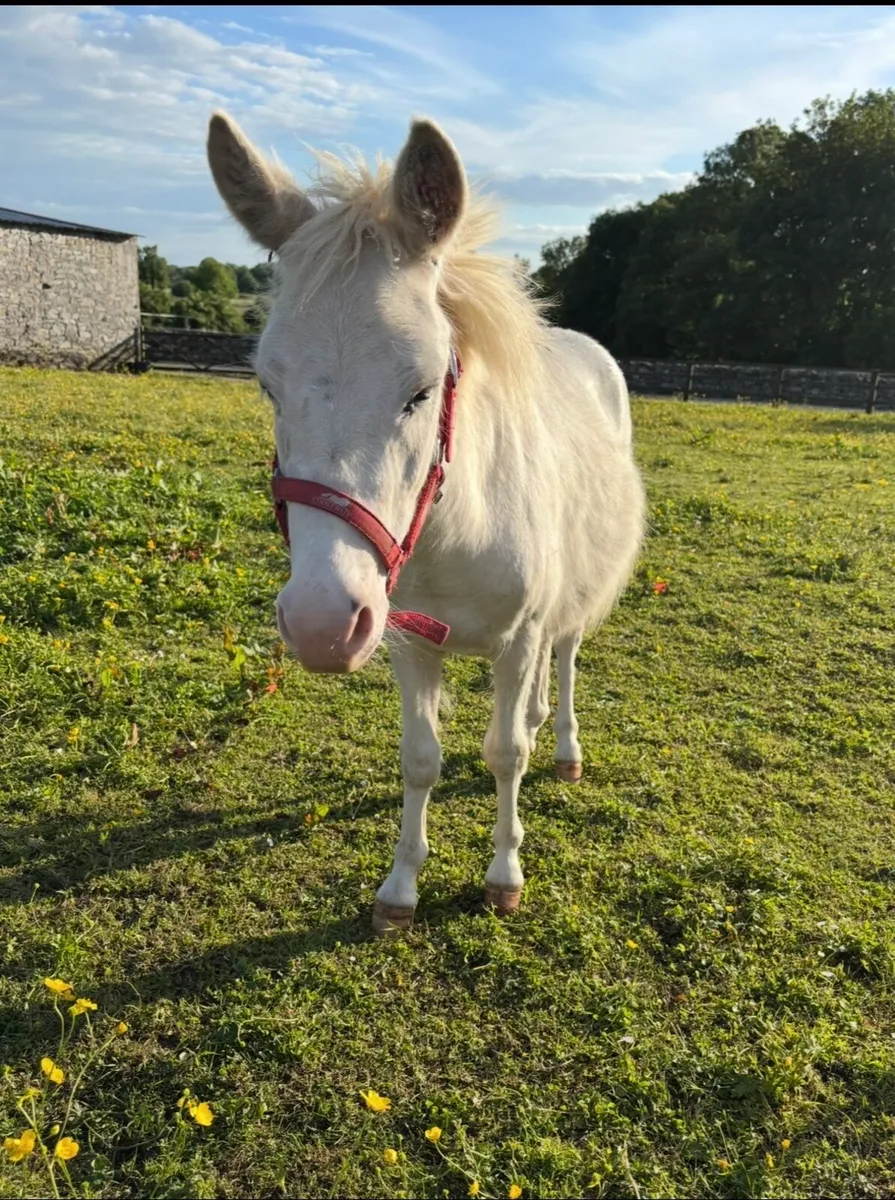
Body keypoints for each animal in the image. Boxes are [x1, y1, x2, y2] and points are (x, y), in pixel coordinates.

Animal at [206, 111, 646, 934]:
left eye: (421, 388)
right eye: (267, 386)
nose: (320, 625)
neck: (453, 533)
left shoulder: (517, 636)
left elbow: (504, 755)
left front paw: (504, 874)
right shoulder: (406, 637)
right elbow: (421, 759)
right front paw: (400, 887)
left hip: (568, 604)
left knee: (565, 657)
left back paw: (563, 743)